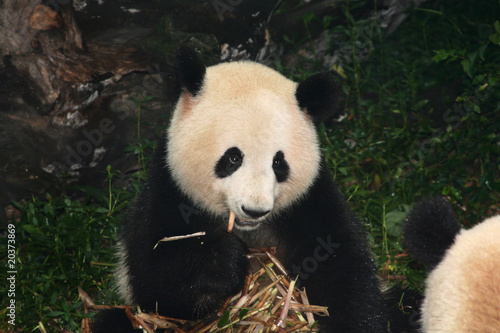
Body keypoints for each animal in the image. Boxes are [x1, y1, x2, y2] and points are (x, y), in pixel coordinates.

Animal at [92, 46, 384, 332]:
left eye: (278, 162)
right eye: (233, 158)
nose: (254, 210)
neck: (250, 231)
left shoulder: (310, 200)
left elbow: (342, 266)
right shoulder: (168, 189)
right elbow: (156, 279)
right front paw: (225, 261)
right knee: (115, 322)